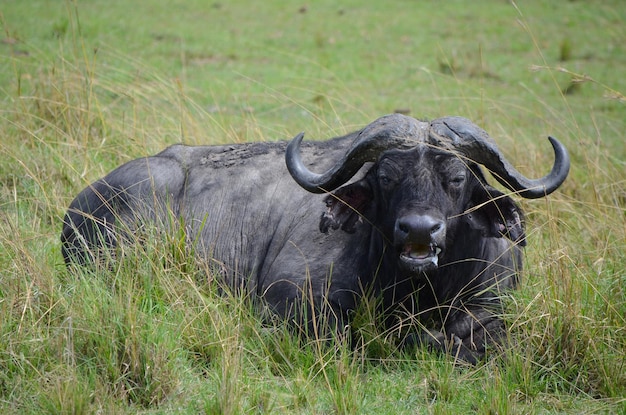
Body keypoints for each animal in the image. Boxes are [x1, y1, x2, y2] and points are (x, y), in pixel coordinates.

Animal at [61, 114, 568, 364]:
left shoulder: (493, 307)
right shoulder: (288, 302)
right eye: (386, 176)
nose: (421, 229)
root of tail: (83, 202)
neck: (414, 290)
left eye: (457, 178)